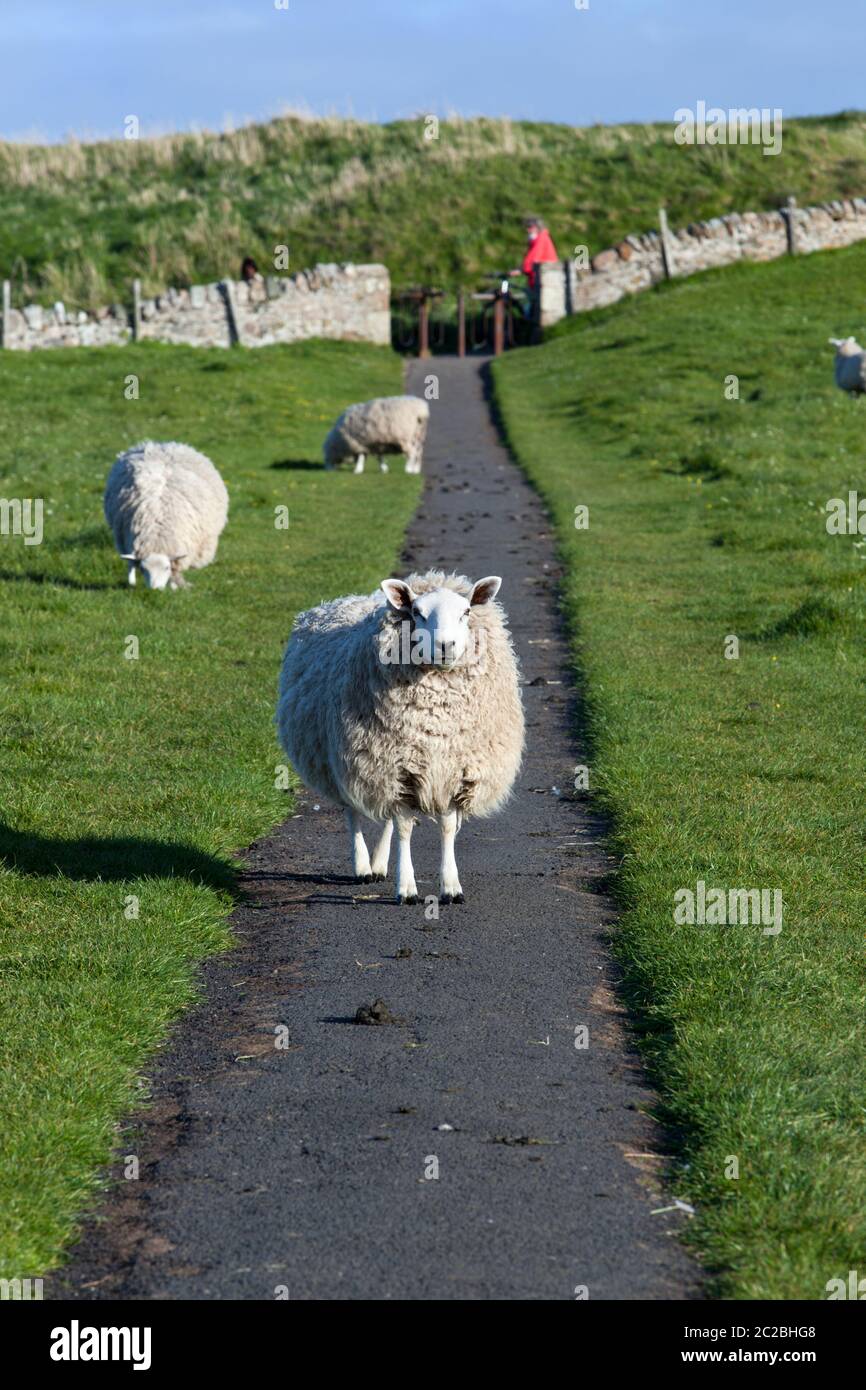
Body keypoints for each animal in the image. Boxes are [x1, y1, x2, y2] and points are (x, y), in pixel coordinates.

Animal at [104, 440, 228, 590]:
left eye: (166, 568)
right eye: (144, 569)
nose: (155, 590)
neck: (157, 533)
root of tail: (161, 445)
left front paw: (177, 585)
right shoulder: (123, 539)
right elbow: (131, 564)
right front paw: (132, 581)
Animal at [276, 569, 524, 904]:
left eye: (466, 612)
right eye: (417, 613)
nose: (445, 646)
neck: (436, 718)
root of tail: (346, 599)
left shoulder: (448, 770)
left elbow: (446, 828)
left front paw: (451, 886)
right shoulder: (395, 768)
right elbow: (404, 828)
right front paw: (406, 887)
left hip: (379, 764)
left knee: (385, 818)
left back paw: (380, 863)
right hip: (353, 762)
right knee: (354, 812)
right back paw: (364, 866)